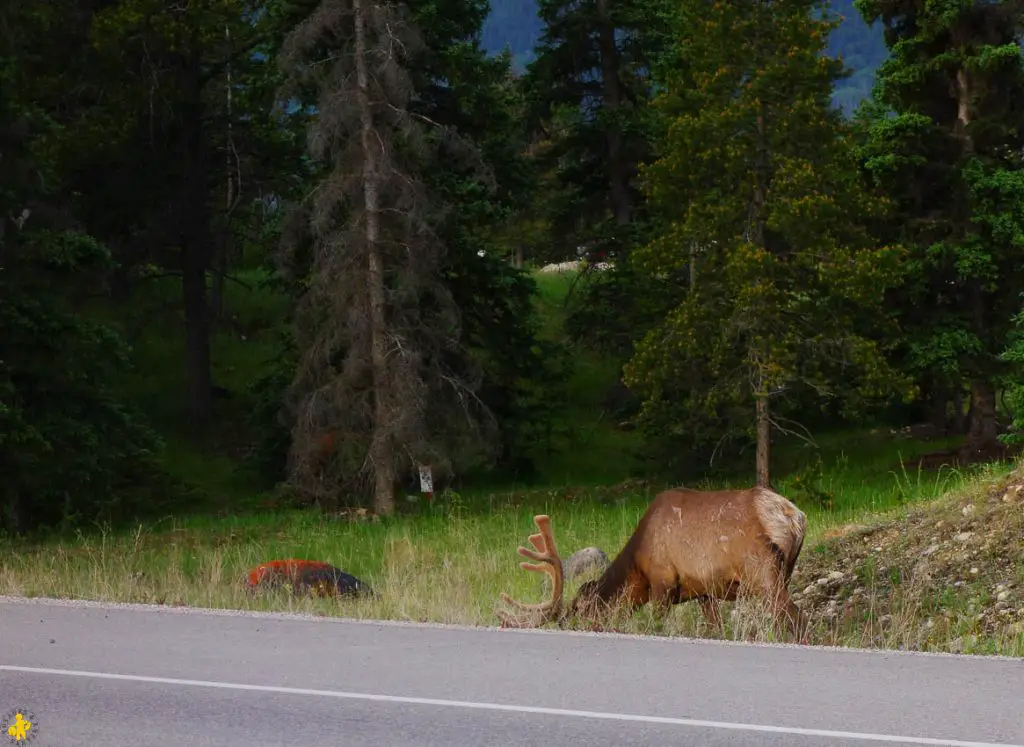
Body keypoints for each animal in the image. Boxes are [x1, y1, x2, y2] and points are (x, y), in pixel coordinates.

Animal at [499, 483, 811, 639]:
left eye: (580, 609)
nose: (569, 626)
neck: (638, 569)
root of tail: (793, 516)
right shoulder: (704, 589)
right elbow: (716, 629)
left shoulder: (663, 579)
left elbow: (657, 625)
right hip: (784, 571)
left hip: (762, 572)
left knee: (799, 619)